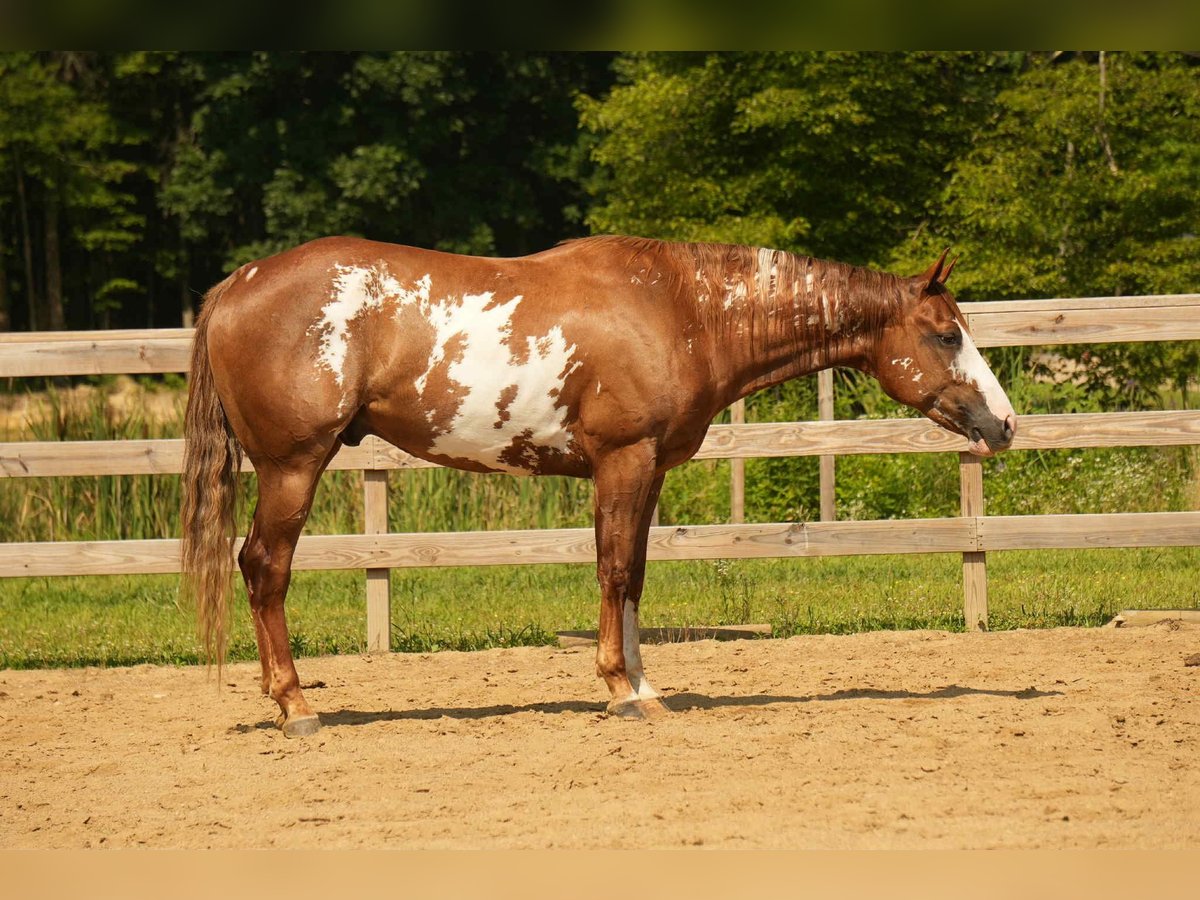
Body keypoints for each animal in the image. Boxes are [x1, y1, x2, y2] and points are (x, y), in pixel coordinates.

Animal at [181, 235, 1016, 736]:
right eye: (946, 334)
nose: (1005, 424)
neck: (683, 310)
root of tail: (233, 287)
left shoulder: (647, 472)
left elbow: (636, 576)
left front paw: (645, 687)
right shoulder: (623, 461)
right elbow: (614, 572)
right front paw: (618, 689)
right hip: (293, 466)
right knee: (264, 568)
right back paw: (295, 705)